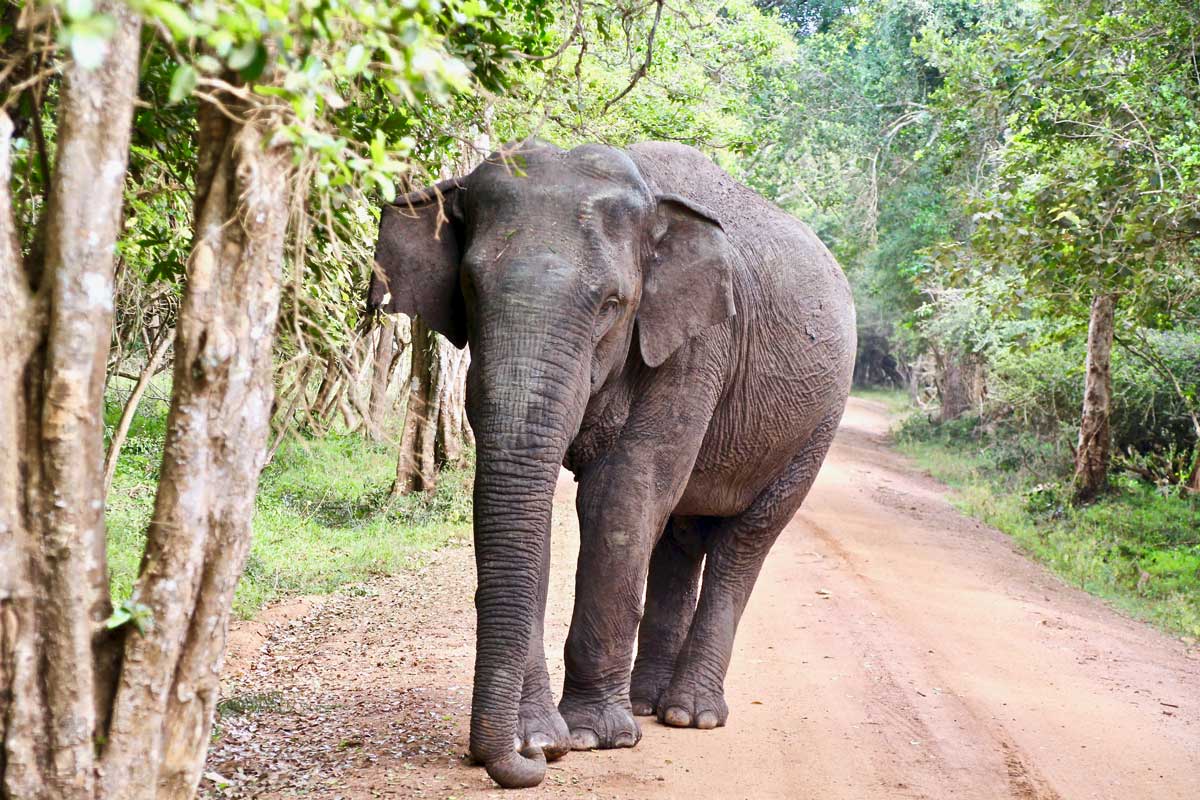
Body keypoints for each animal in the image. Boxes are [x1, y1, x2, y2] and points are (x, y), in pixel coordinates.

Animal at [367, 139, 854, 786]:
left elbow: (623, 494)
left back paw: (690, 715)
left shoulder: (699, 343)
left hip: (818, 425)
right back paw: (650, 704)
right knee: (679, 536)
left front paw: (593, 738)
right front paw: (542, 737)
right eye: (469, 288)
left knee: (745, 540)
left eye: (612, 304)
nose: (528, 762)